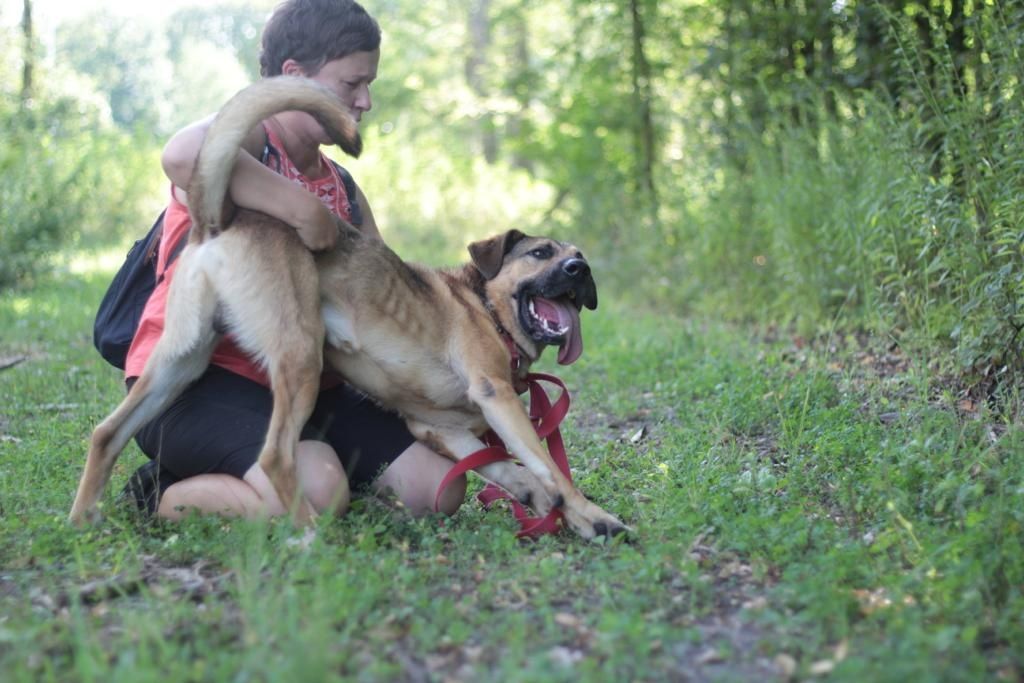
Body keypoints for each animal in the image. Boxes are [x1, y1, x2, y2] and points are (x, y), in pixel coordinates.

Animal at [70, 76, 622, 540]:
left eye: (581, 259)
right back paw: (312, 534)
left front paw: (550, 506)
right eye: (541, 253)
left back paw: (84, 518)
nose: (580, 271)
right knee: (275, 458)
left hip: (179, 361)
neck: (487, 308)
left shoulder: (443, 431)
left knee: (106, 433)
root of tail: (219, 220)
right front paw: (595, 518)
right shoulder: (496, 395)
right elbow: (550, 467)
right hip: (299, 357)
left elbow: (512, 467)